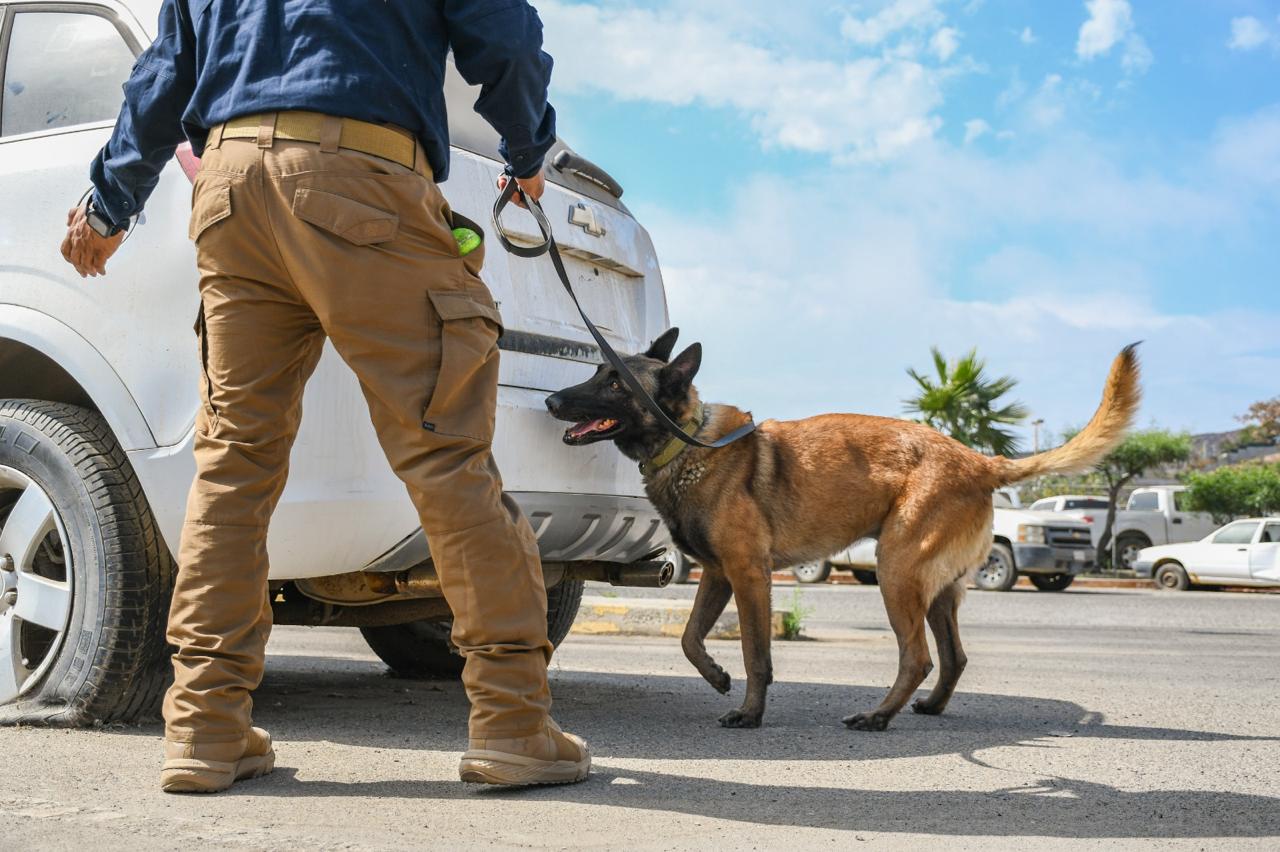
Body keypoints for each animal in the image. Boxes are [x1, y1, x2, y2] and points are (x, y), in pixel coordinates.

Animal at [540, 327, 1141, 726]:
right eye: (596, 372)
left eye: (615, 385)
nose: (550, 399)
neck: (687, 444)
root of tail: (978, 461)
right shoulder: (716, 575)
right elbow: (690, 639)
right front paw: (715, 676)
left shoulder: (748, 576)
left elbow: (757, 654)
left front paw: (750, 711)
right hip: (936, 590)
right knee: (953, 657)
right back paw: (928, 707)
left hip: (897, 573)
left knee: (918, 657)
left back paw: (878, 716)